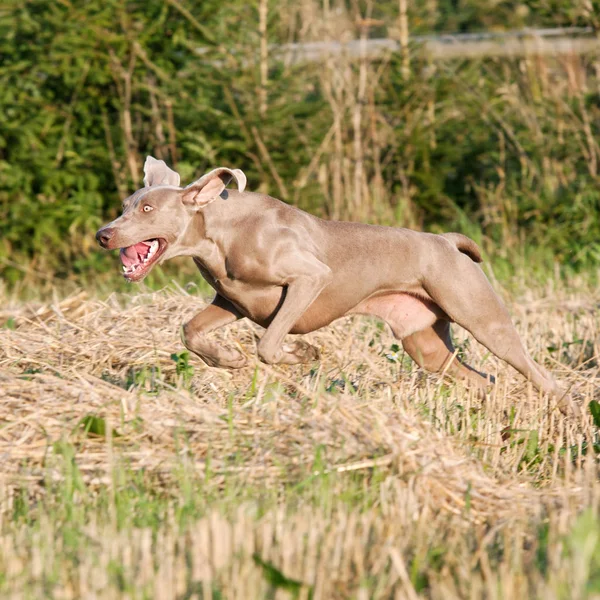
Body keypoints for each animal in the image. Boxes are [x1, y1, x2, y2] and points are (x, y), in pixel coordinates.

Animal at [97, 157, 576, 414]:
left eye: (147, 208)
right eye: (124, 206)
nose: (103, 234)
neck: (219, 232)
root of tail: (444, 240)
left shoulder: (308, 278)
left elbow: (269, 344)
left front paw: (303, 353)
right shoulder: (231, 301)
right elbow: (191, 330)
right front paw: (227, 359)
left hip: (479, 314)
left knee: (538, 374)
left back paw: (570, 414)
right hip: (424, 342)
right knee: (482, 378)